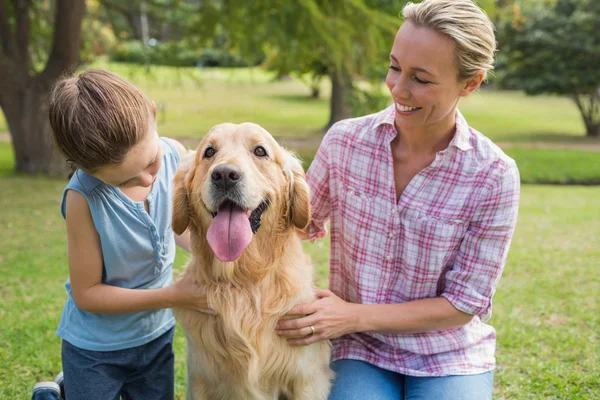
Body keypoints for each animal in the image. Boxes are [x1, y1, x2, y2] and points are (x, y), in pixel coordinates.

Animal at [172, 122, 332, 400]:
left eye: (260, 151)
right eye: (209, 152)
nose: (225, 174)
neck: (244, 281)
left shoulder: (307, 380)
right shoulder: (200, 379)